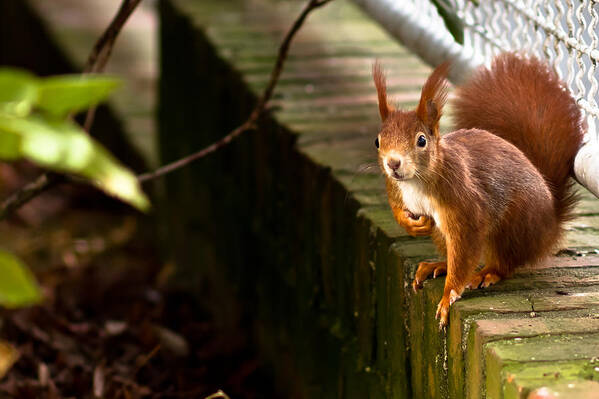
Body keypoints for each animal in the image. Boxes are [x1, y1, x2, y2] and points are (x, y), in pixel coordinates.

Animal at [372, 53, 584, 328]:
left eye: (421, 140)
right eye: (378, 141)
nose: (393, 163)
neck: (415, 182)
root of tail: (551, 224)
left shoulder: (464, 205)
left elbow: (464, 250)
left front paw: (448, 296)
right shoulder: (395, 188)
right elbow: (397, 209)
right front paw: (412, 225)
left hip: (511, 227)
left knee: (504, 263)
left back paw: (487, 273)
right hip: (446, 233)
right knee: (452, 253)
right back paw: (438, 264)